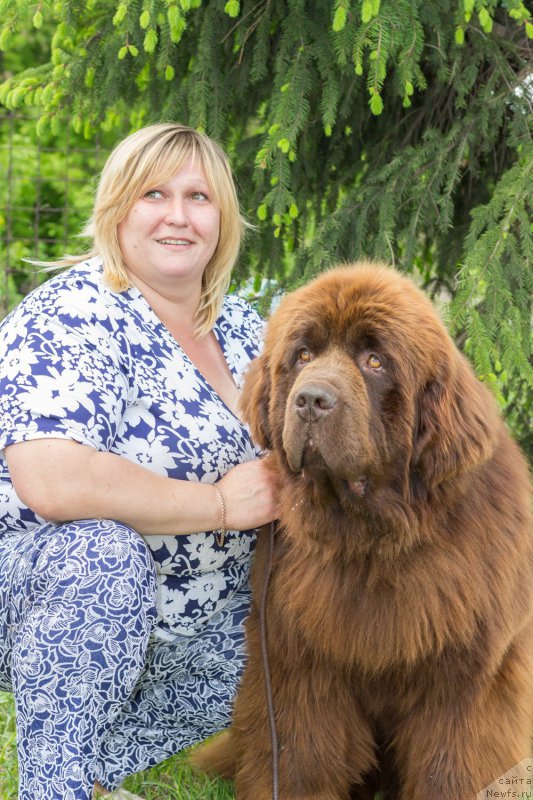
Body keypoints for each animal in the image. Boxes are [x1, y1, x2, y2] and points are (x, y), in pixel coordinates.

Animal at [192, 264, 532, 800]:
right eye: (302, 355)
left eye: (374, 361)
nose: (311, 400)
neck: (371, 538)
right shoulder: (300, 661)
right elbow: (300, 754)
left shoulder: (466, 676)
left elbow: (452, 764)